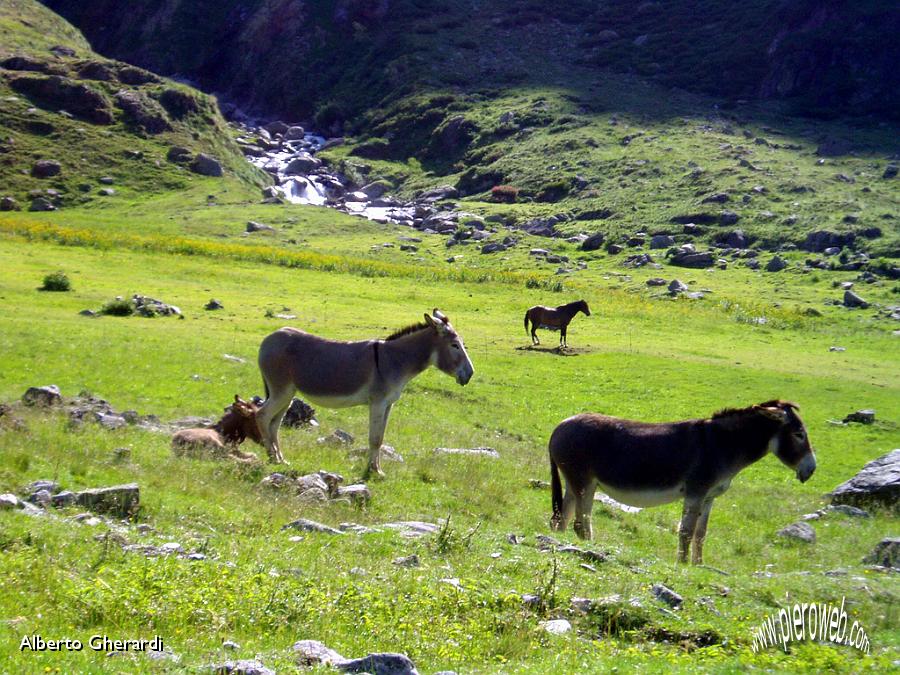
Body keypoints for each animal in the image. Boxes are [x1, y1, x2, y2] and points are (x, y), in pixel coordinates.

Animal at [548, 402, 816, 564]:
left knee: (564, 518)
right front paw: (682, 564)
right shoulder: (695, 492)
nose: (811, 470)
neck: (721, 445)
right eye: (799, 434)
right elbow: (686, 531)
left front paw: (697, 564)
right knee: (580, 523)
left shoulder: (709, 497)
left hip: (578, 482)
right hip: (582, 481)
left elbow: (701, 533)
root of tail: (559, 426)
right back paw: (592, 548)